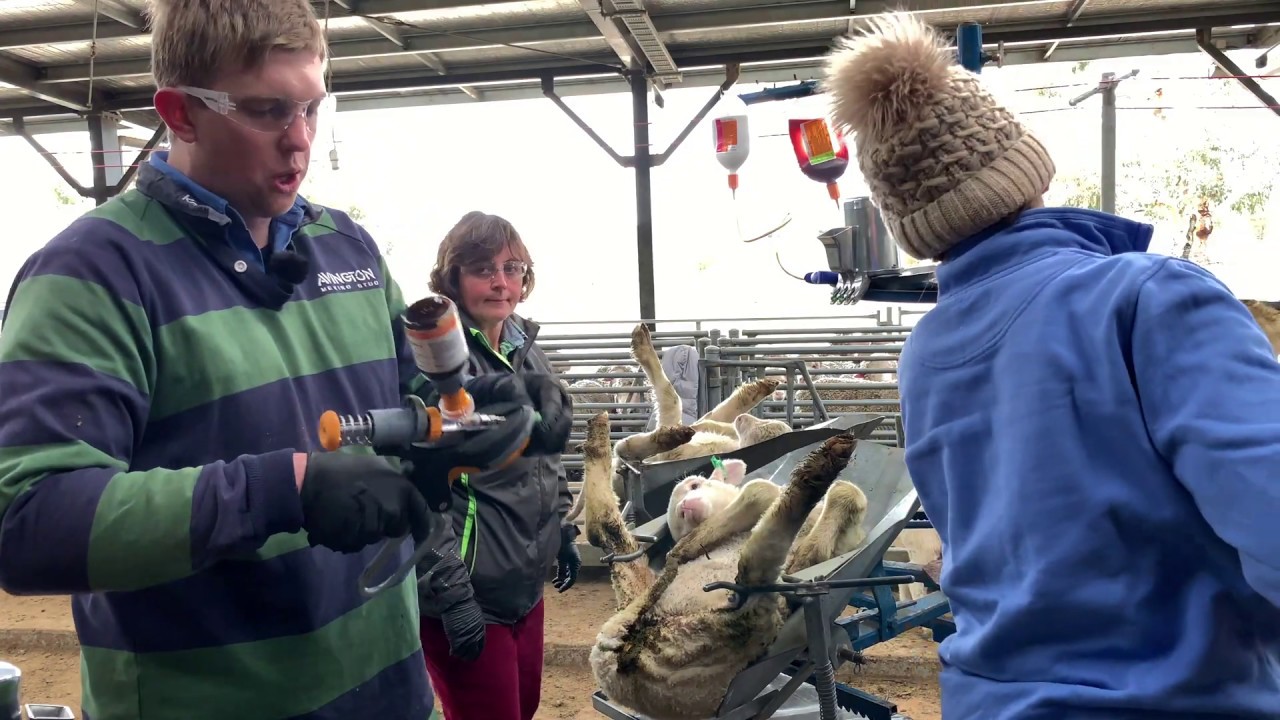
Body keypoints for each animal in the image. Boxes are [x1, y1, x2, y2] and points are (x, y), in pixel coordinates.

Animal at [580, 411, 869, 720]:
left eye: (695, 485)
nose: (685, 506)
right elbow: (761, 492)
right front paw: (687, 548)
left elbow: (844, 497)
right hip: (746, 621)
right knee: (754, 569)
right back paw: (818, 470)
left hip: (645, 592)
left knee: (605, 526)